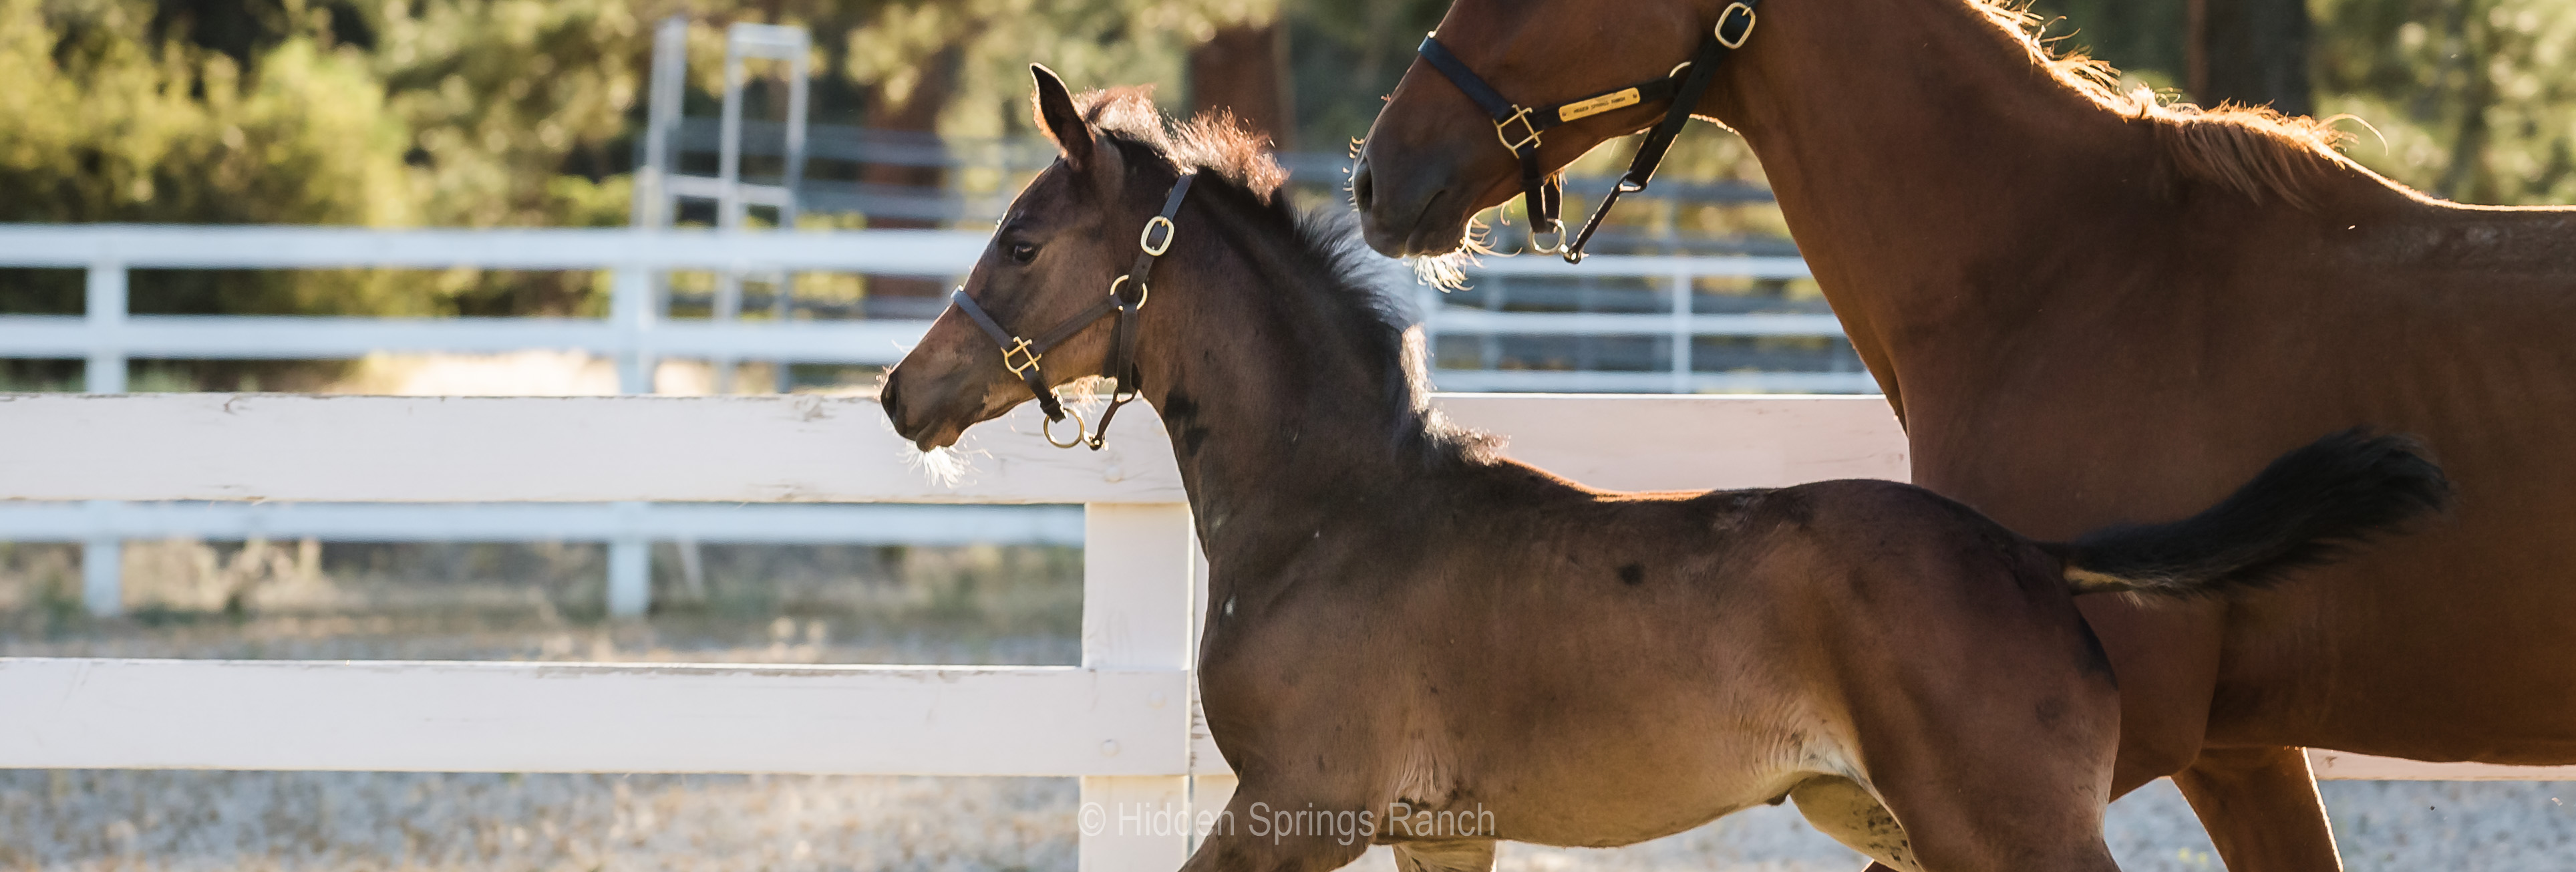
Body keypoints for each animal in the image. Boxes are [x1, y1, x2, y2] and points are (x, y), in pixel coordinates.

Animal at [878, 66, 2453, 872]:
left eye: (1021, 242)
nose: (904, 396)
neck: (1337, 519)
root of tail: (2023, 554)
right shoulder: (1438, 830)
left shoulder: (1295, 804)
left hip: (2004, 831)